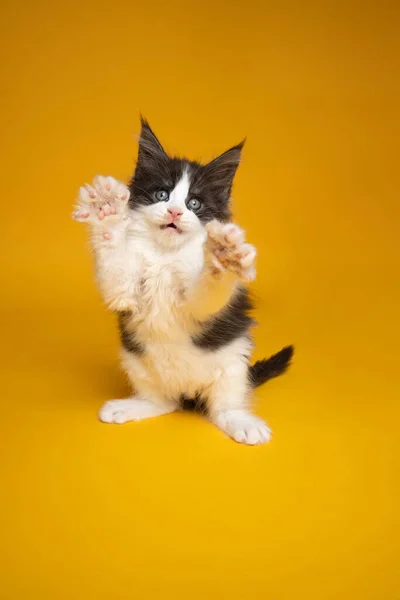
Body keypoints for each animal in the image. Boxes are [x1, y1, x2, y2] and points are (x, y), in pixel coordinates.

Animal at [72, 118, 292, 446]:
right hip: (135, 358)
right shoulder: (125, 291)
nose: (175, 211)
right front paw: (106, 212)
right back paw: (132, 406)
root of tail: (187, 389)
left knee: (221, 407)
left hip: (234, 363)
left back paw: (242, 423)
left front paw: (223, 255)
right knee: (165, 402)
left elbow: (208, 292)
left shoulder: (200, 305)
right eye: (162, 195)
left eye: (194, 203)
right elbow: (116, 273)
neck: (165, 255)